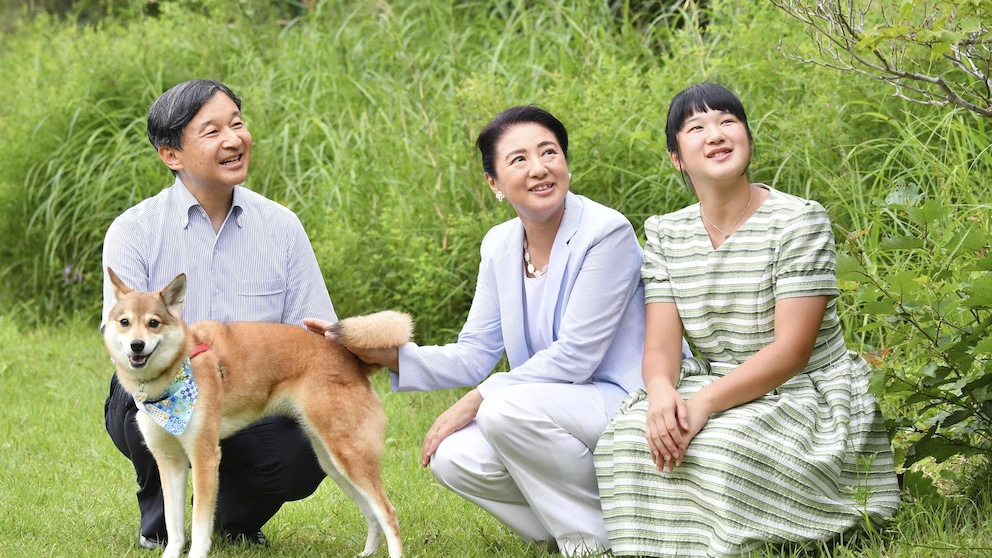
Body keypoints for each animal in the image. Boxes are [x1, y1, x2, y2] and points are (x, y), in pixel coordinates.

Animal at [102, 270, 408, 556]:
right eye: (124, 322)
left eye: (153, 322)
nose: (137, 345)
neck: (177, 369)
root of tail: (352, 360)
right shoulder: (169, 461)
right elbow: (174, 525)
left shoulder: (204, 458)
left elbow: (200, 525)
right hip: (334, 463)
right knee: (373, 514)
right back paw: (368, 552)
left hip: (350, 457)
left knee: (388, 513)